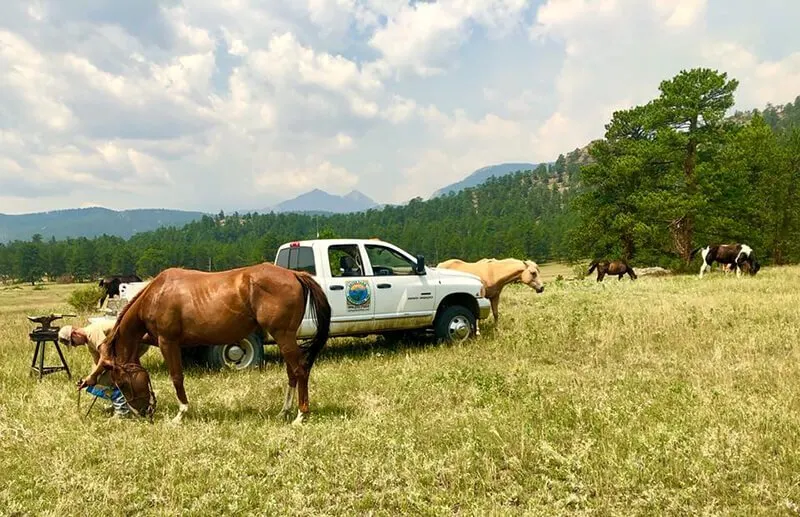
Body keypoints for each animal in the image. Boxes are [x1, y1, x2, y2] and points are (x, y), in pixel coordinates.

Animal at [77, 264, 332, 426]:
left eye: (122, 383)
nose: (142, 412)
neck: (156, 294)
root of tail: (294, 274)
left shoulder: (168, 342)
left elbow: (176, 377)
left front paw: (181, 414)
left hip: (284, 336)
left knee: (300, 370)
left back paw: (300, 415)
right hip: (285, 338)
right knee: (292, 372)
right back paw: (284, 411)